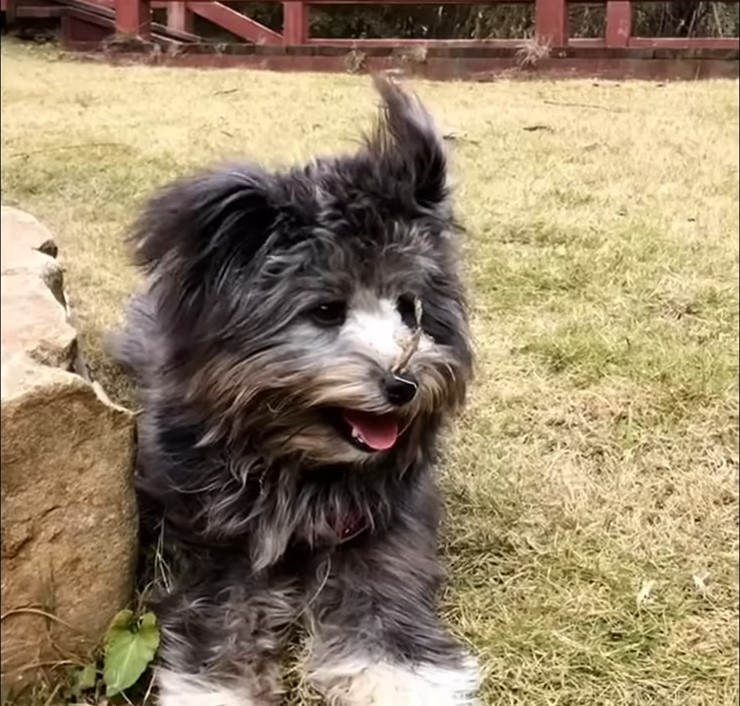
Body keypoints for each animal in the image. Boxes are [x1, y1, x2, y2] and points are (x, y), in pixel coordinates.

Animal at [111, 77, 480, 704]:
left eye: (409, 308)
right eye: (326, 310)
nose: (404, 384)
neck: (301, 463)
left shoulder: (387, 527)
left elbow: (383, 598)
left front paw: (395, 677)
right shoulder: (215, 536)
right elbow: (221, 612)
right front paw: (217, 689)